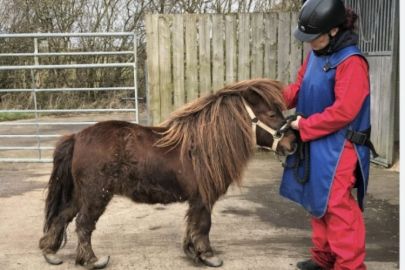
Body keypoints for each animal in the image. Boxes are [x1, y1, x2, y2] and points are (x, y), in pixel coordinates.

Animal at [39, 77, 296, 268]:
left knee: (62, 217)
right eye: (271, 115)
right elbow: (204, 224)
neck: (203, 145)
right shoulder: (204, 198)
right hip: (95, 196)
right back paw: (91, 260)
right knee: (83, 224)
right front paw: (208, 255)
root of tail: (77, 137)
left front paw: (193, 252)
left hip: (80, 195)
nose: (293, 143)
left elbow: (193, 224)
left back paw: (50, 252)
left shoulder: (196, 200)